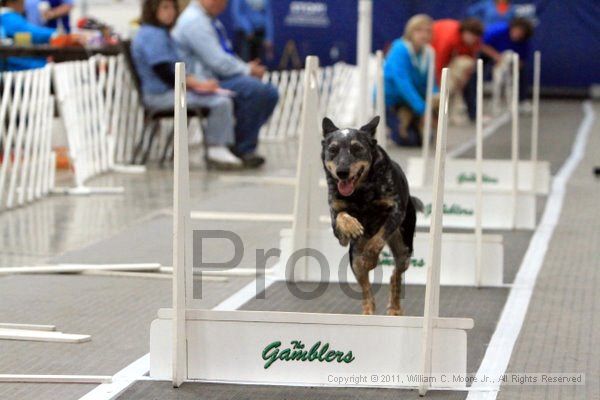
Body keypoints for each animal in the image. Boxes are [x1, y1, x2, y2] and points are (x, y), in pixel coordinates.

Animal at [322, 115, 424, 316]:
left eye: (357, 148)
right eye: (333, 150)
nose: (342, 172)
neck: (361, 192)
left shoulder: (396, 211)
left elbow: (378, 238)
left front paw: (370, 257)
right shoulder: (338, 230)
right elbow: (342, 216)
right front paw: (353, 225)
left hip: (404, 251)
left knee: (395, 275)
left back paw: (394, 308)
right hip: (354, 257)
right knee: (365, 286)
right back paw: (368, 310)